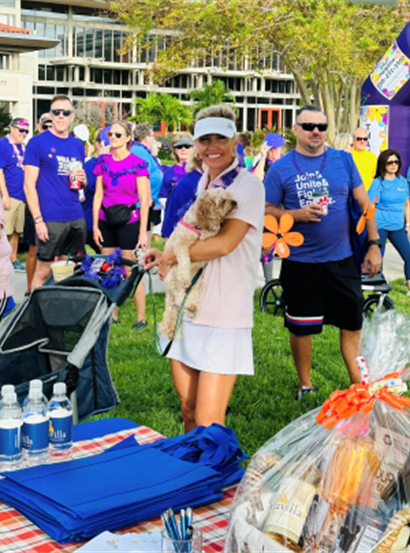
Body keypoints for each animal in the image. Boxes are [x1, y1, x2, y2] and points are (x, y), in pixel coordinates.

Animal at [160, 188, 237, 338]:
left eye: (230, 196)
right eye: (222, 200)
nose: (235, 202)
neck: (198, 225)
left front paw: (209, 232)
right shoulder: (180, 245)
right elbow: (184, 260)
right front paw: (184, 276)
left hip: (199, 281)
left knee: (191, 295)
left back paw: (192, 307)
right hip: (172, 276)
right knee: (179, 295)